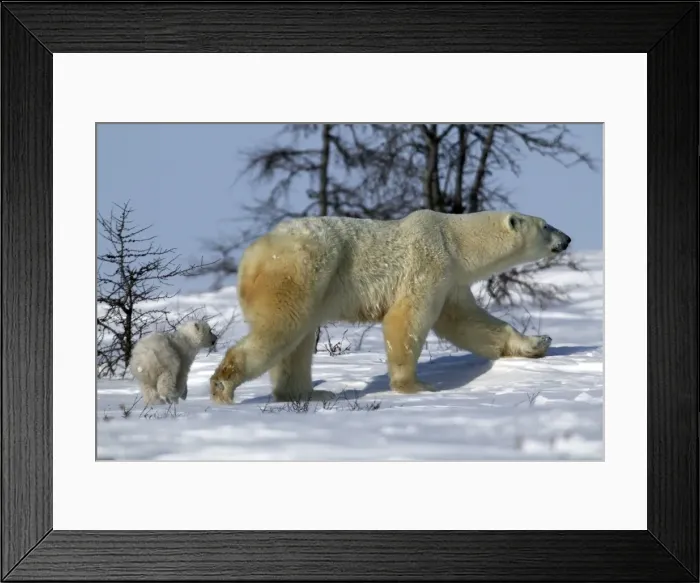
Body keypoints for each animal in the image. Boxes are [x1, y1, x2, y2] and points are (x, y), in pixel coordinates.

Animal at [208, 209, 571, 405]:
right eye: (546, 225)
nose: (566, 239)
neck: (454, 239)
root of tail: (252, 255)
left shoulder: (451, 279)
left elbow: (468, 322)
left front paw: (538, 343)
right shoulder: (428, 263)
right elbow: (406, 319)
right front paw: (416, 386)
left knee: (295, 343)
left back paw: (308, 394)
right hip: (300, 271)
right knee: (281, 328)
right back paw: (224, 386)